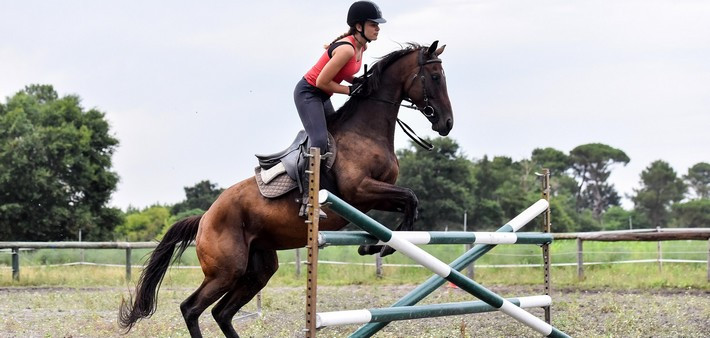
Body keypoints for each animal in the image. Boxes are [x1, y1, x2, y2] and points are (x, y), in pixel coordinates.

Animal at [119, 41, 454, 338]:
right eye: (435, 77)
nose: (447, 123)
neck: (365, 132)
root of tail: (204, 218)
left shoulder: (374, 196)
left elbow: (406, 206)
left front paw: (374, 246)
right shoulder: (360, 191)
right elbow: (410, 200)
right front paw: (380, 247)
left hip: (258, 269)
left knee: (222, 312)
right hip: (227, 271)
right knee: (191, 308)